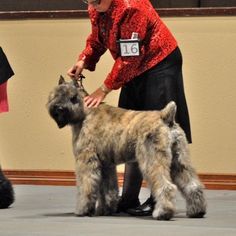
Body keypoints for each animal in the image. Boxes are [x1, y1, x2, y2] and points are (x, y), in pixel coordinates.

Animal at [47, 76, 206, 220]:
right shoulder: (106, 165)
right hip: (179, 161)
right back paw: (197, 211)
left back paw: (162, 213)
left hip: (152, 161)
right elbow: (107, 189)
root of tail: (165, 116)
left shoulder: (87, 162)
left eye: (73, 97)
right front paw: (105, 209)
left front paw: (83, 209)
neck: (85, 112)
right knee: (193, 185)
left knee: (165, 186)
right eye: (56, 94)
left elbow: (86, 187)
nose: (59, 108)